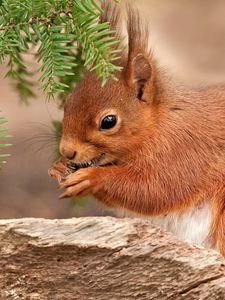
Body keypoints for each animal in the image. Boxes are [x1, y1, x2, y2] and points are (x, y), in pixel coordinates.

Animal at [48, 1, 225, 255]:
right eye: (68, 101)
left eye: (108, 121)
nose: (66, 151)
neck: (159, 123)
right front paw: (58, 167)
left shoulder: (185, 150)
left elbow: (154, 190)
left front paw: (92, 178)